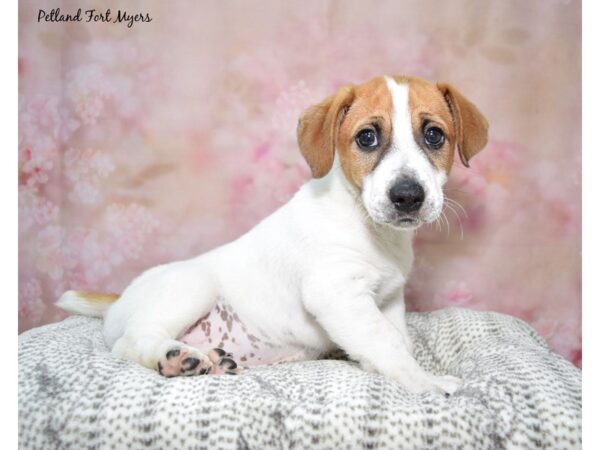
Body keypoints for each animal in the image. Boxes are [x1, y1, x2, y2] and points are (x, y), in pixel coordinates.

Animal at [57, 75, 488, 396]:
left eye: (434, 136)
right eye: (367, 137)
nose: (408, 196)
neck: (372, 230)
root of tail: (119, 300)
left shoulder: (389, 300)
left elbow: (397, 341)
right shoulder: (337, 294)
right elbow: (388, 344)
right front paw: (424, 381)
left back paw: (213, 362)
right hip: (190, 285)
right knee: (131, 341)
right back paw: (176, 357)